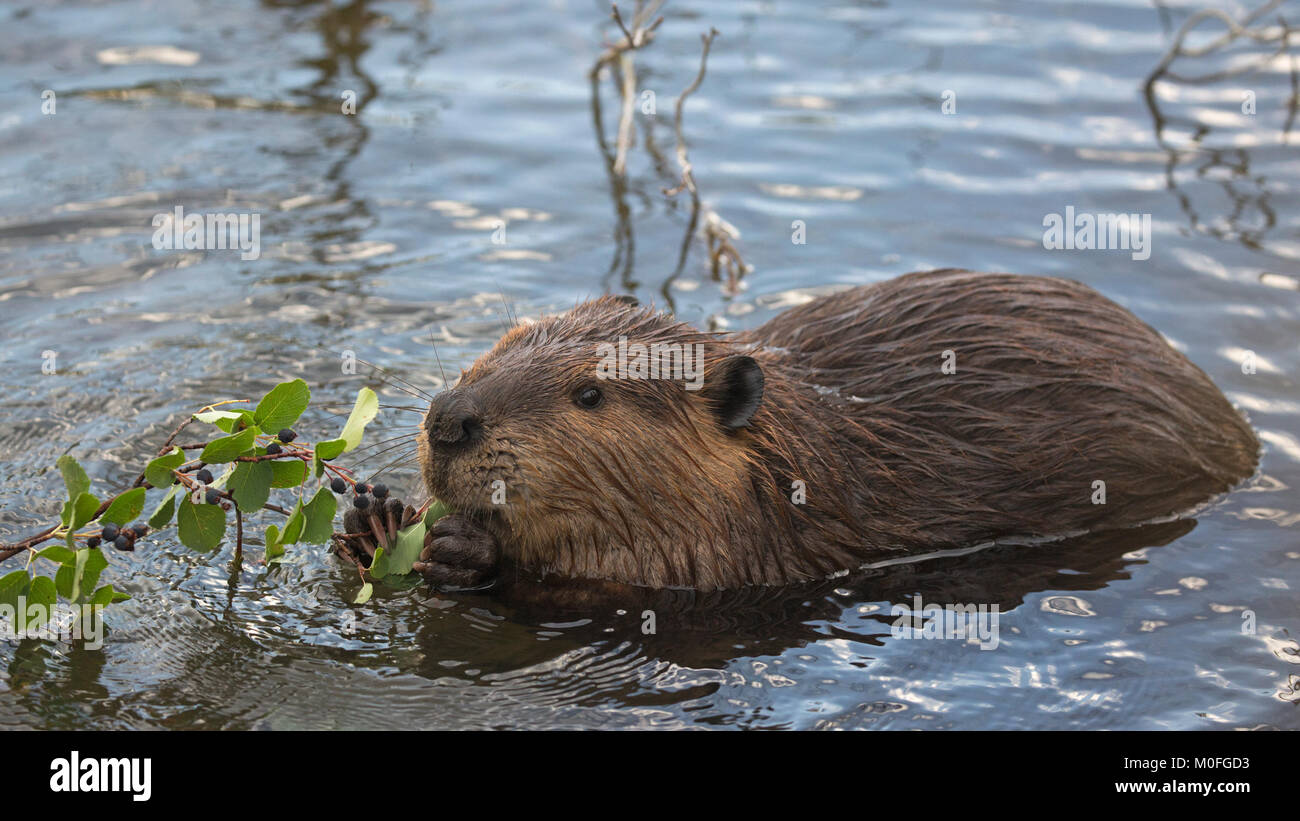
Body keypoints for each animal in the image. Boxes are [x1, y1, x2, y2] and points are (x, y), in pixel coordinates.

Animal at [397, 268, 1258, 589]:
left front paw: (457, 543)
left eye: (589, 394)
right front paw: (398, 518)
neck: (804, 451)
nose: (449, 420)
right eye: (504, 342)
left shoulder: (745, 542)